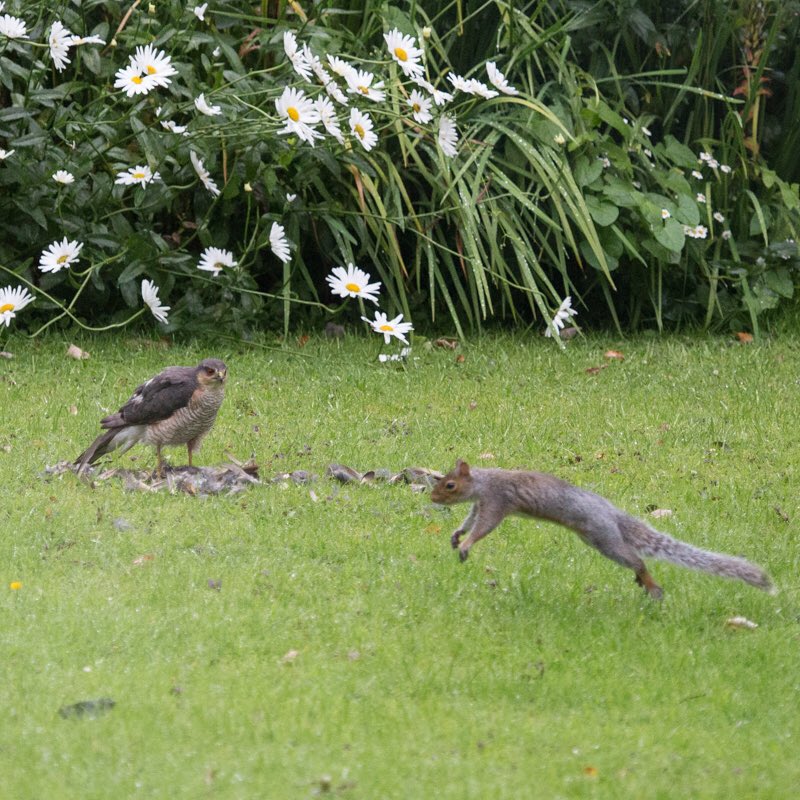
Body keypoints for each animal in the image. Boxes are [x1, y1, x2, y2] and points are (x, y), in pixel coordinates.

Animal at [430, 460, 774, 599]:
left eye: (449, 485)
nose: (432, 498)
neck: (484, 481)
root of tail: (611, 513)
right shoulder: (480, 504)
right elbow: (470, 521)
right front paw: (457, 536)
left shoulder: (498, 500)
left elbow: (484, 527)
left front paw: (467, 545)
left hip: (602, 538)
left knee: (636, 559)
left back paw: (650, 584)